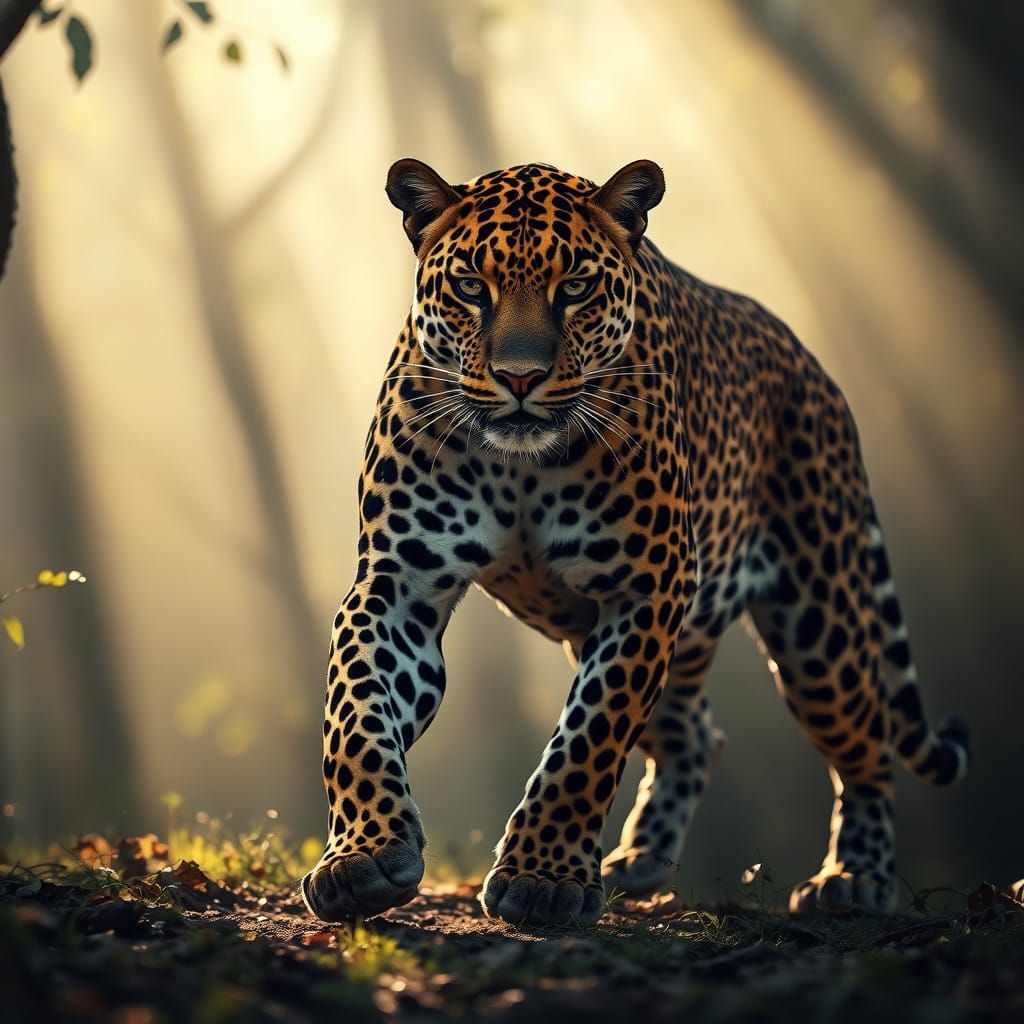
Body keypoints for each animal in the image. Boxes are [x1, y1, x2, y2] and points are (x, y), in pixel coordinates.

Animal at [300, 158, 969, 928]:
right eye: (471, 287)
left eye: (575, 288)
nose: (520, 378)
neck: (519, 465)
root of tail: (814, 368)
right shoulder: (396, 585)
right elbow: (355, 716)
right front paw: (364, 856)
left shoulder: (645, 590)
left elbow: (589, 738)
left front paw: (543, 878)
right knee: (696, 734)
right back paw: (641, 860)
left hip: (819, 628)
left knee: (869, 748)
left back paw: (854, 877)